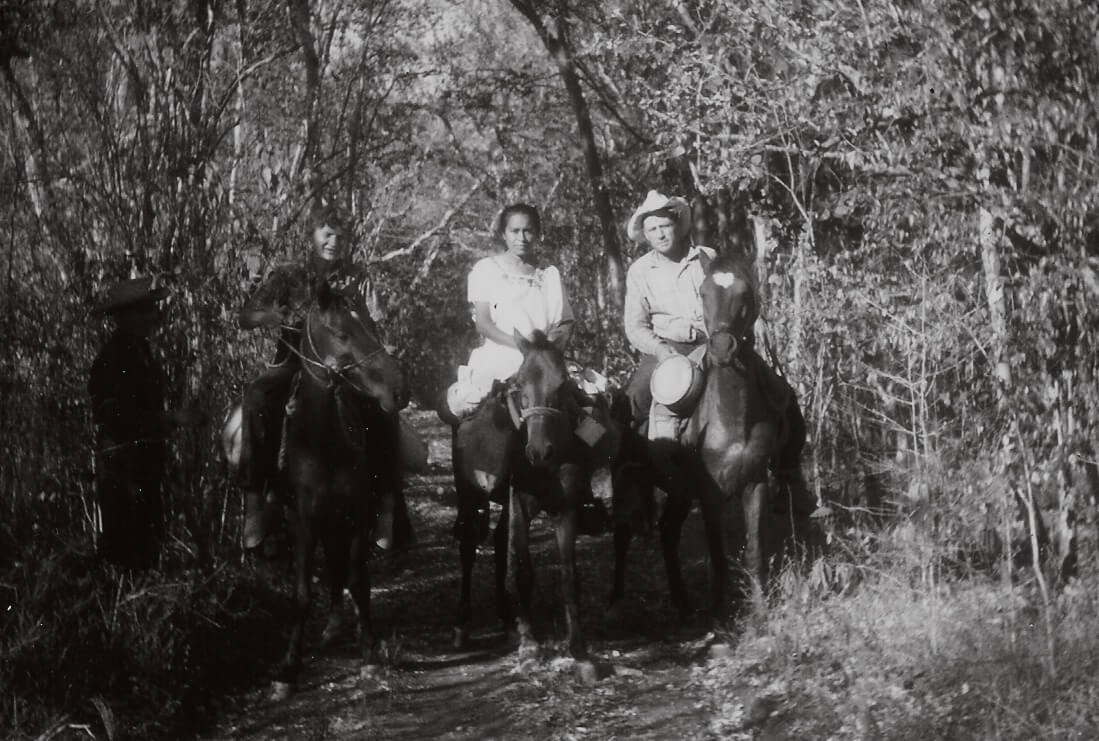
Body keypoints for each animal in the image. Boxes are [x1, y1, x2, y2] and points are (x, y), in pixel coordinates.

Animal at [270, 278, 408, 699]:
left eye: (371, 326)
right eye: (343, 333)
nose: (400, 390)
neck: (323, 444)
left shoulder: (358, 514)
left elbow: (358, 581)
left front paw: (369, 654)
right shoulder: (301, 520)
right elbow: (301, 593)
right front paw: (288, 669)